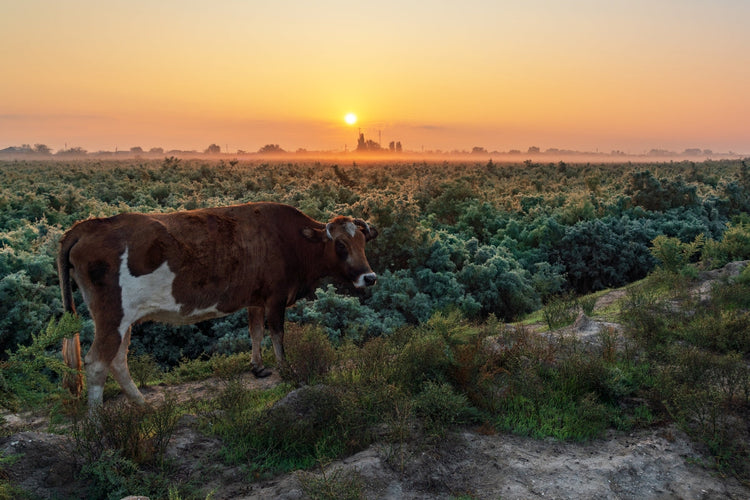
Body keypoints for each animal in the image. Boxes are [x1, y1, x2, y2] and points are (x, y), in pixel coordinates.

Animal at [57, 201, 382, 408]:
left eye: (363, 243)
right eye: (340, 245)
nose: (369, 277)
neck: (290, 240)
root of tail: (87, 226)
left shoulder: (256, 298)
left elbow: (255, 332)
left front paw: (258, 367)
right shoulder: (275, 298)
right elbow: (277, 335)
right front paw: (286, 369)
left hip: (124, 321)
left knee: (118, 361)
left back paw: (143, 405)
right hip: (112, 317)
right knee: (97, 363)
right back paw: (97, 425)